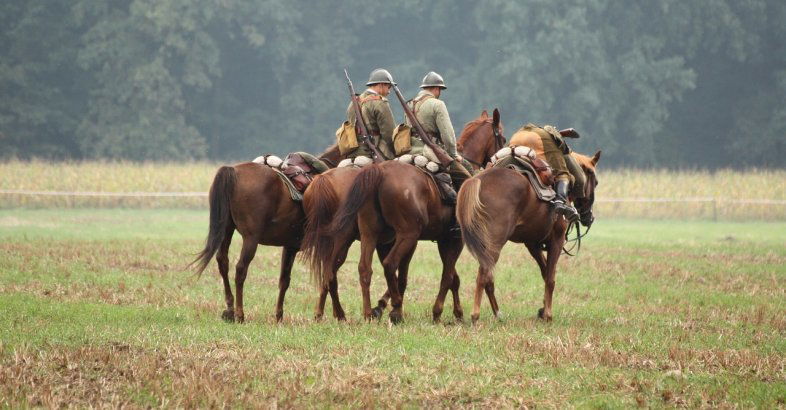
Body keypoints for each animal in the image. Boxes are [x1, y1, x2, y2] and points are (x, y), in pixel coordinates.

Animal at [191, 146, 342, 322]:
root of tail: (233, 171)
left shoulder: (290, 247)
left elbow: (285, 280)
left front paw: (279, 316)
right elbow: (329, 278)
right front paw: (329, 314)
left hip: (227, 230)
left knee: (223, 261)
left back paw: (229, 309)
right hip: (251, 238)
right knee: (240, 269)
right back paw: (240, 314)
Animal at [454, 149, 600, 322]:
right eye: (595, 182)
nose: (589, 217)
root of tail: (477, 180)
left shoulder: (533, 244)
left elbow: (545, 273)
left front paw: (542, 310)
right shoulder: (556, 240)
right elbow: (550, 278)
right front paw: (548, 314)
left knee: (488, 276)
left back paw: (496, 313)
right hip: (494, 244)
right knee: (483, 274)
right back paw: (476, 315)